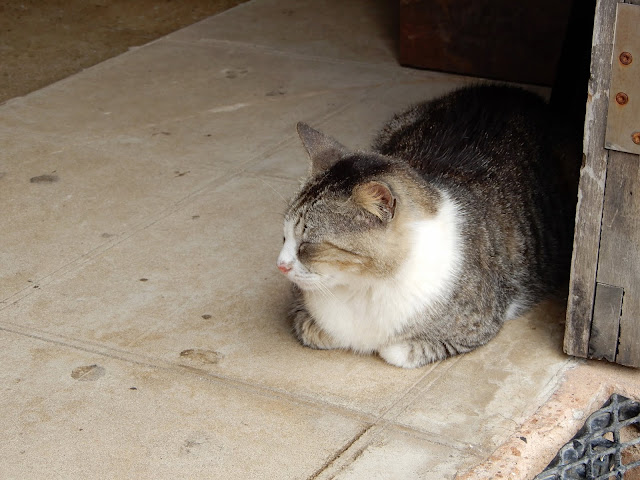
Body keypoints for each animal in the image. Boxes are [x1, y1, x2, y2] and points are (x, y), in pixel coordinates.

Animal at [276, 84, 568, 368]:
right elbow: (315, 329)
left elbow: (395, 351)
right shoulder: (302, 310)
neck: (364, 287)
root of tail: (510, 91)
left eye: (308, 244)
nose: (281, 265)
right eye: (284, 237)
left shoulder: (476, 326)